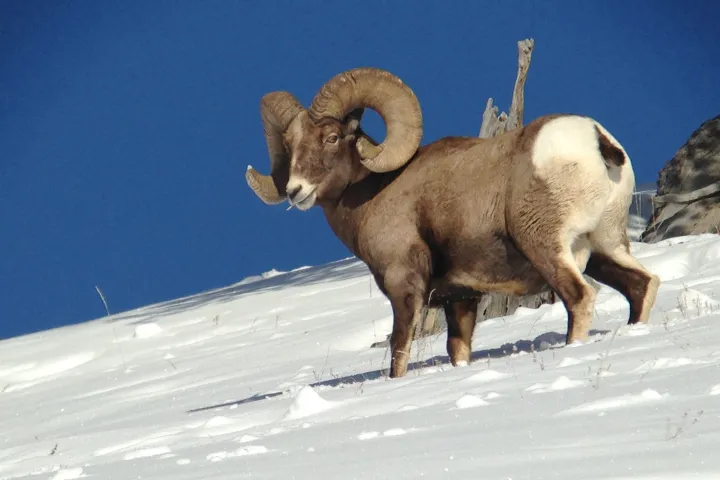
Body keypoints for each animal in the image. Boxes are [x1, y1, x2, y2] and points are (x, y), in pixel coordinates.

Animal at [244, 67, 661, 378]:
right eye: (290, 145)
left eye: (331, 137)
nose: (296, 191)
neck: (374, 193)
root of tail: (595, 141)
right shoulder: (460, 299)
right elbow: (457, 349)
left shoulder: (404, 286)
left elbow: (398, 351)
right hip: (607, 246)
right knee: (642, 285)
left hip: (548, 246)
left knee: (579, 297)